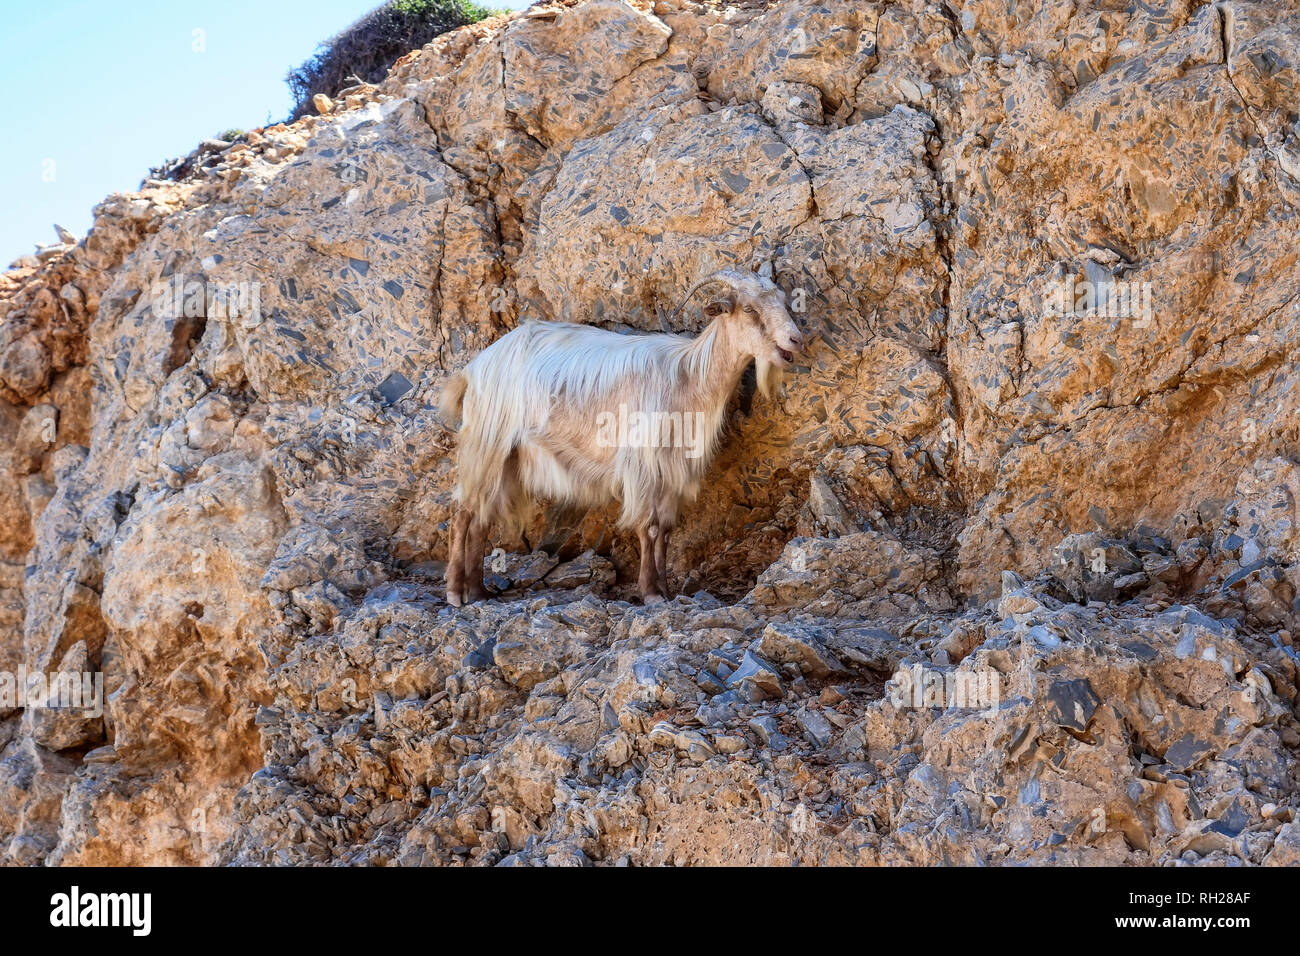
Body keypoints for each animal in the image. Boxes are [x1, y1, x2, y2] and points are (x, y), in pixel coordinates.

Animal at [436, 269, 800, 606]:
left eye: (785, 302)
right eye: (749, 309)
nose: (796, 339)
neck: (688, 375)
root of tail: (474, 368)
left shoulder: (671, 468)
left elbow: (665, 530)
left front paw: (665, 591)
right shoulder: (644, 463)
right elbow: (649, 527)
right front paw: (651, 593)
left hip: (507, 456)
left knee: (482, 514)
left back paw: (478, 592)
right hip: (487, 440)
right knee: (462, 510)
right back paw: (455, 592)